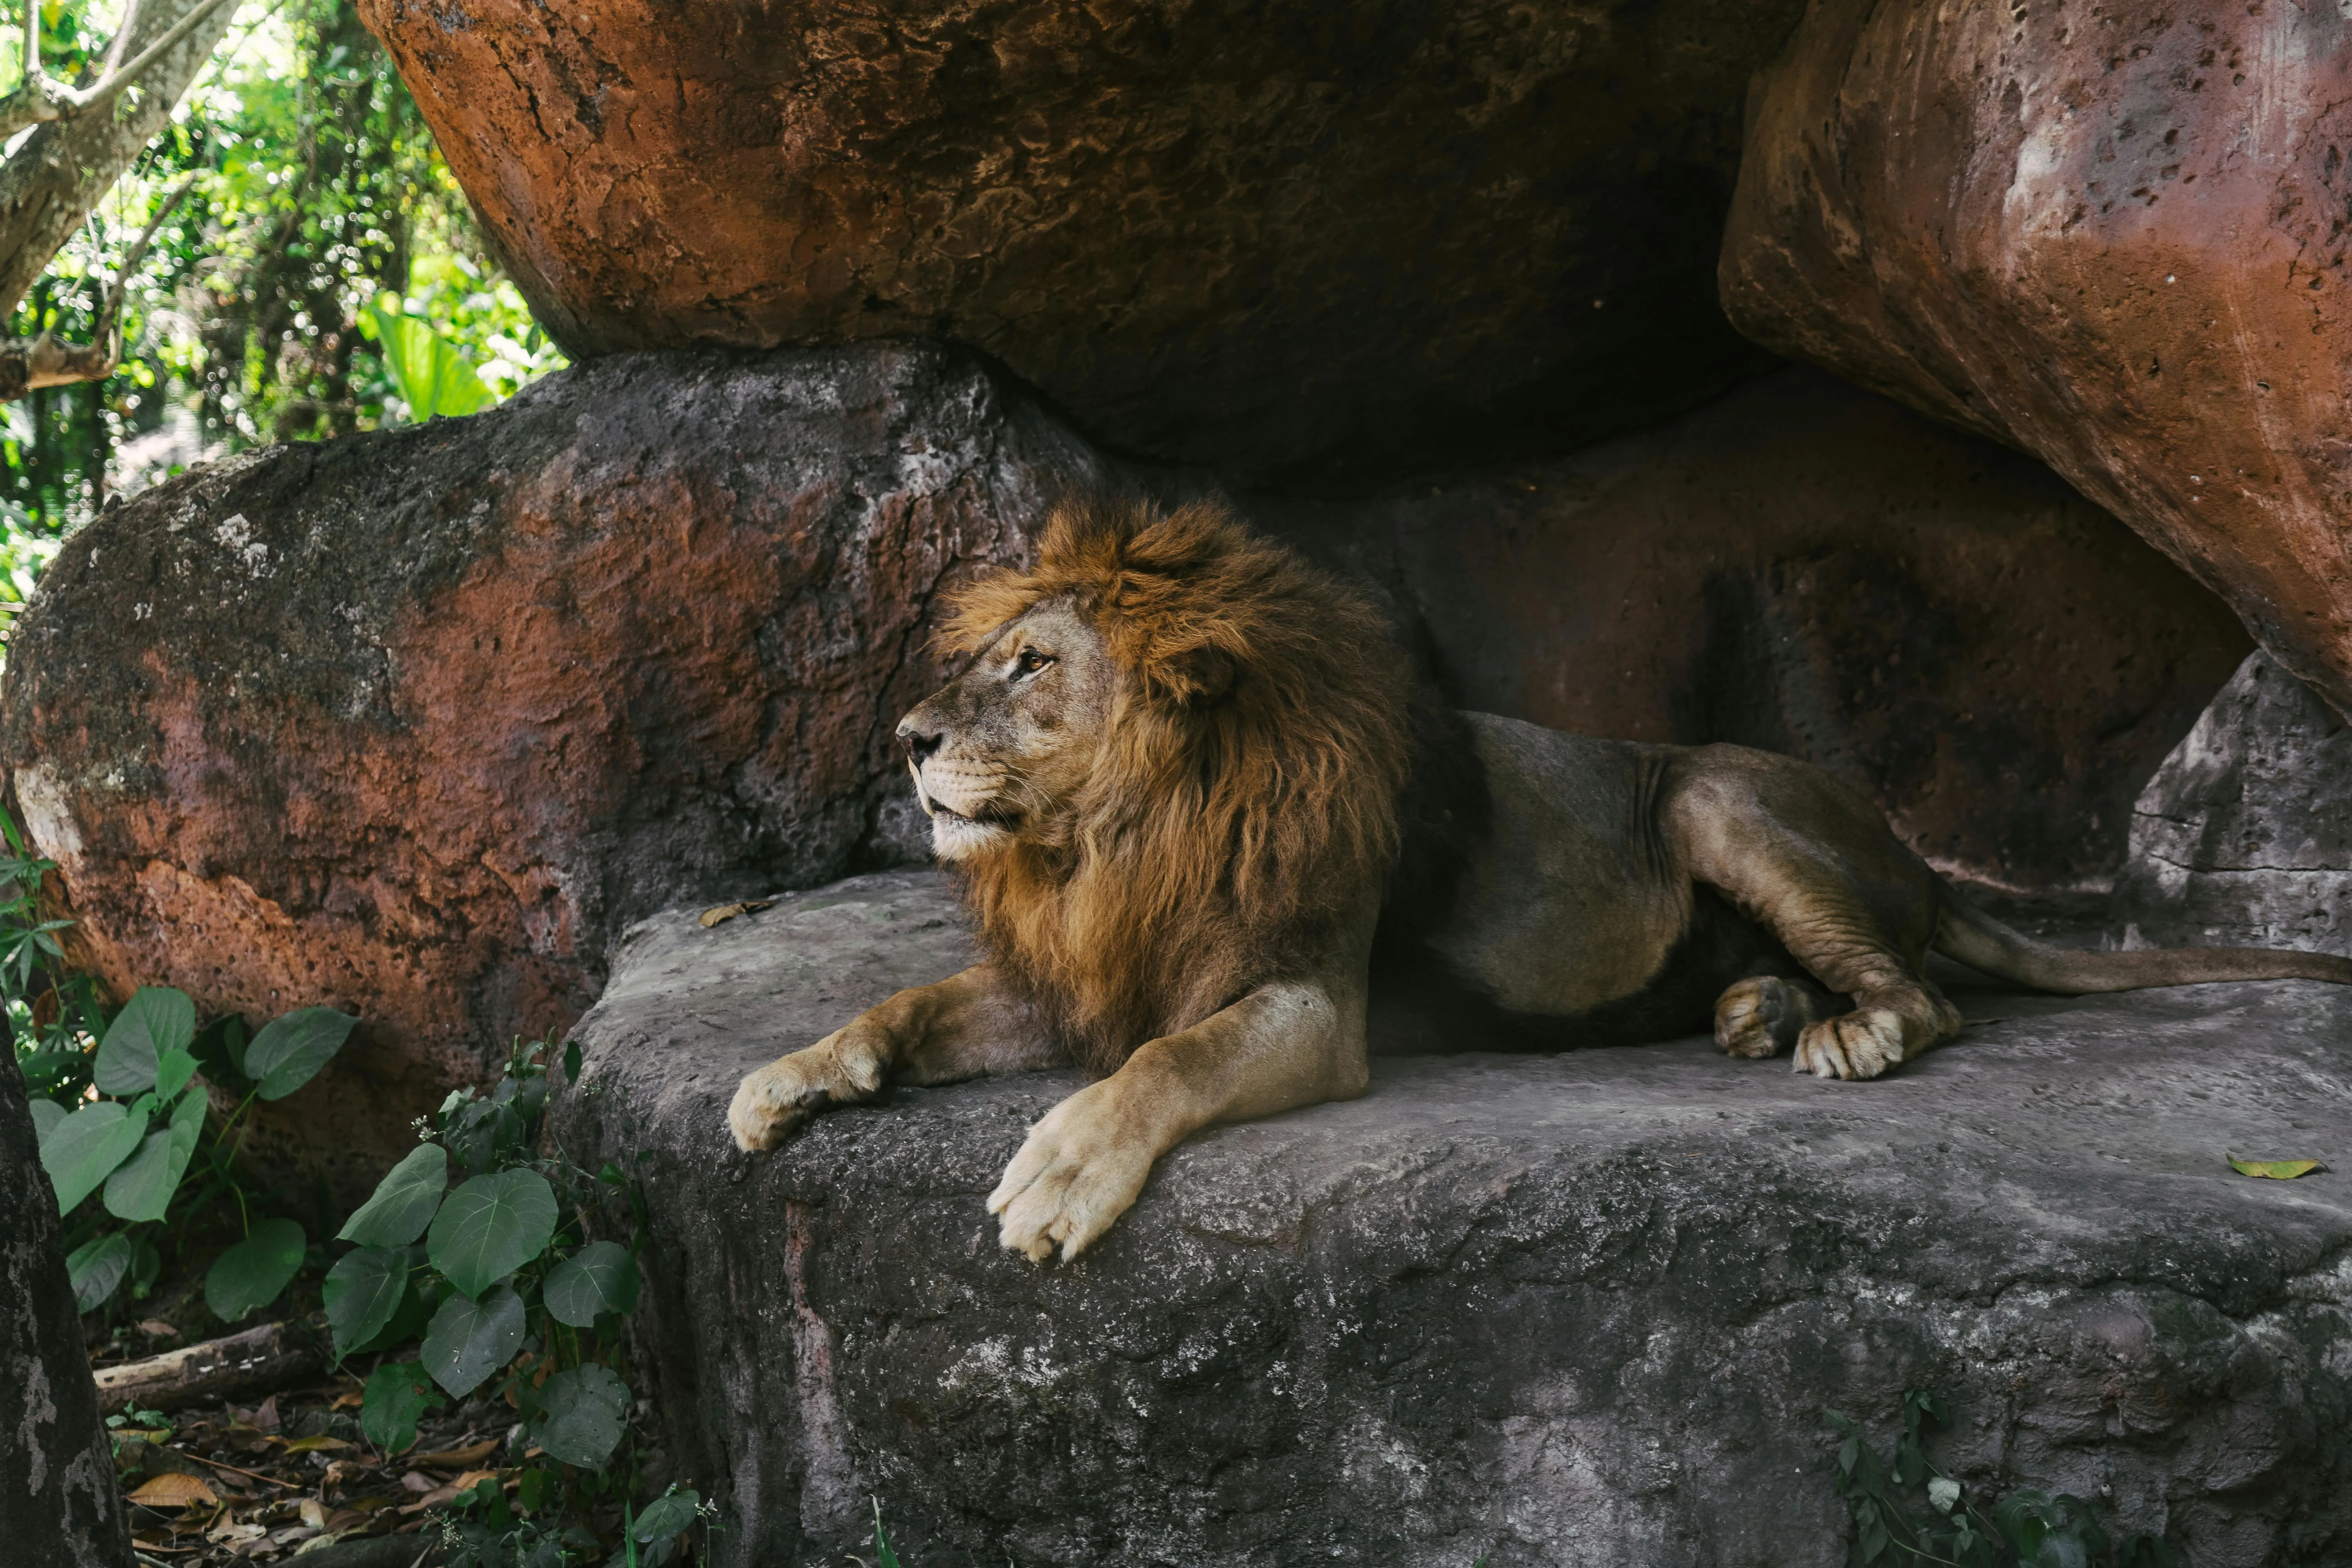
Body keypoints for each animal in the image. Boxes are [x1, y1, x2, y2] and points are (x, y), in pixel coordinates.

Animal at [729, 493, 2352, 1262]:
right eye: (983, 658)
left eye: (1029, 663)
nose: (907, 734)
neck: (1107, 846)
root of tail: (1906, 848)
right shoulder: (1072, 981)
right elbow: (907, 1006)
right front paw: (787, 1078)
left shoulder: (1305, 1002)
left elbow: (1163, 1065)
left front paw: (1060, 1173)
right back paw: (1758, 1009)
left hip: (1712, 790)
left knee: (1928, 994)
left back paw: (1841, 1032)